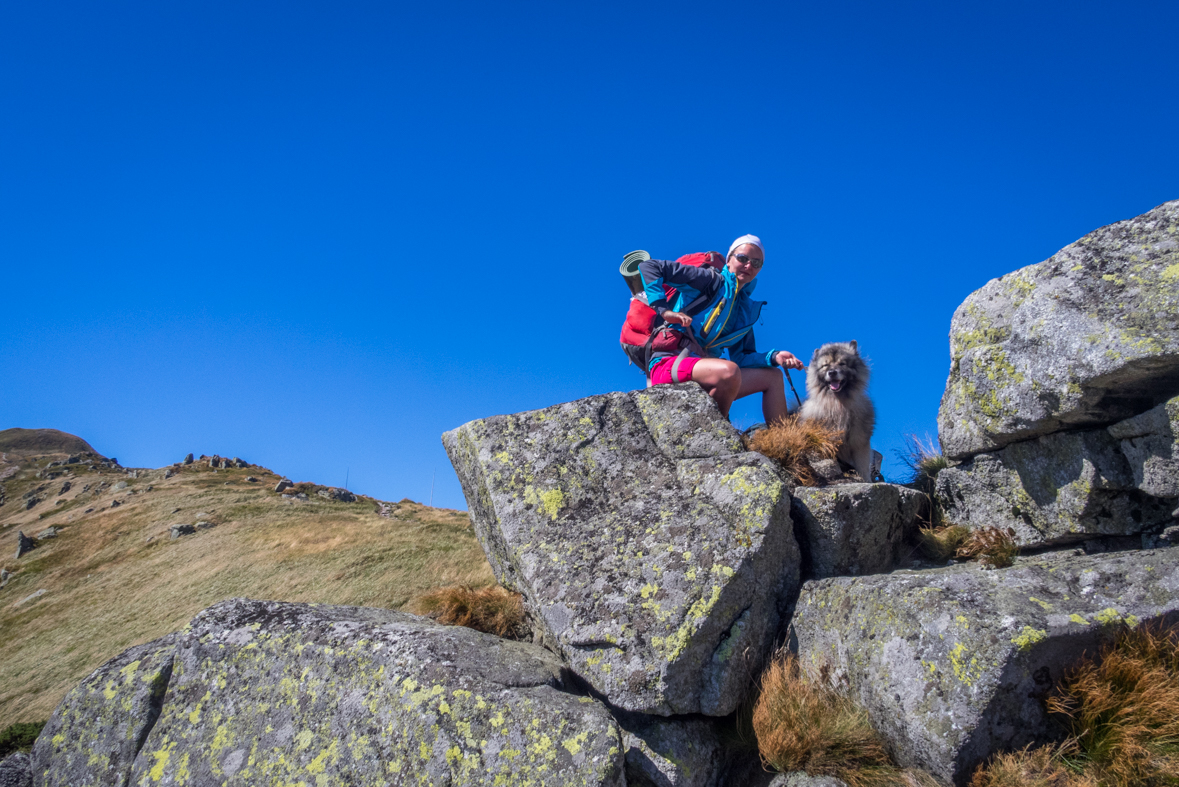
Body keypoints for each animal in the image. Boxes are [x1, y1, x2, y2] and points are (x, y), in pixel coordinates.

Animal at [801, 341, 877, 483]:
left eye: (842, 363)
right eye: (825, 365)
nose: (832, 372)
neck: (837, 403)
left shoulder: (859, 441)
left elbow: (863, 466)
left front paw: (867, 481)